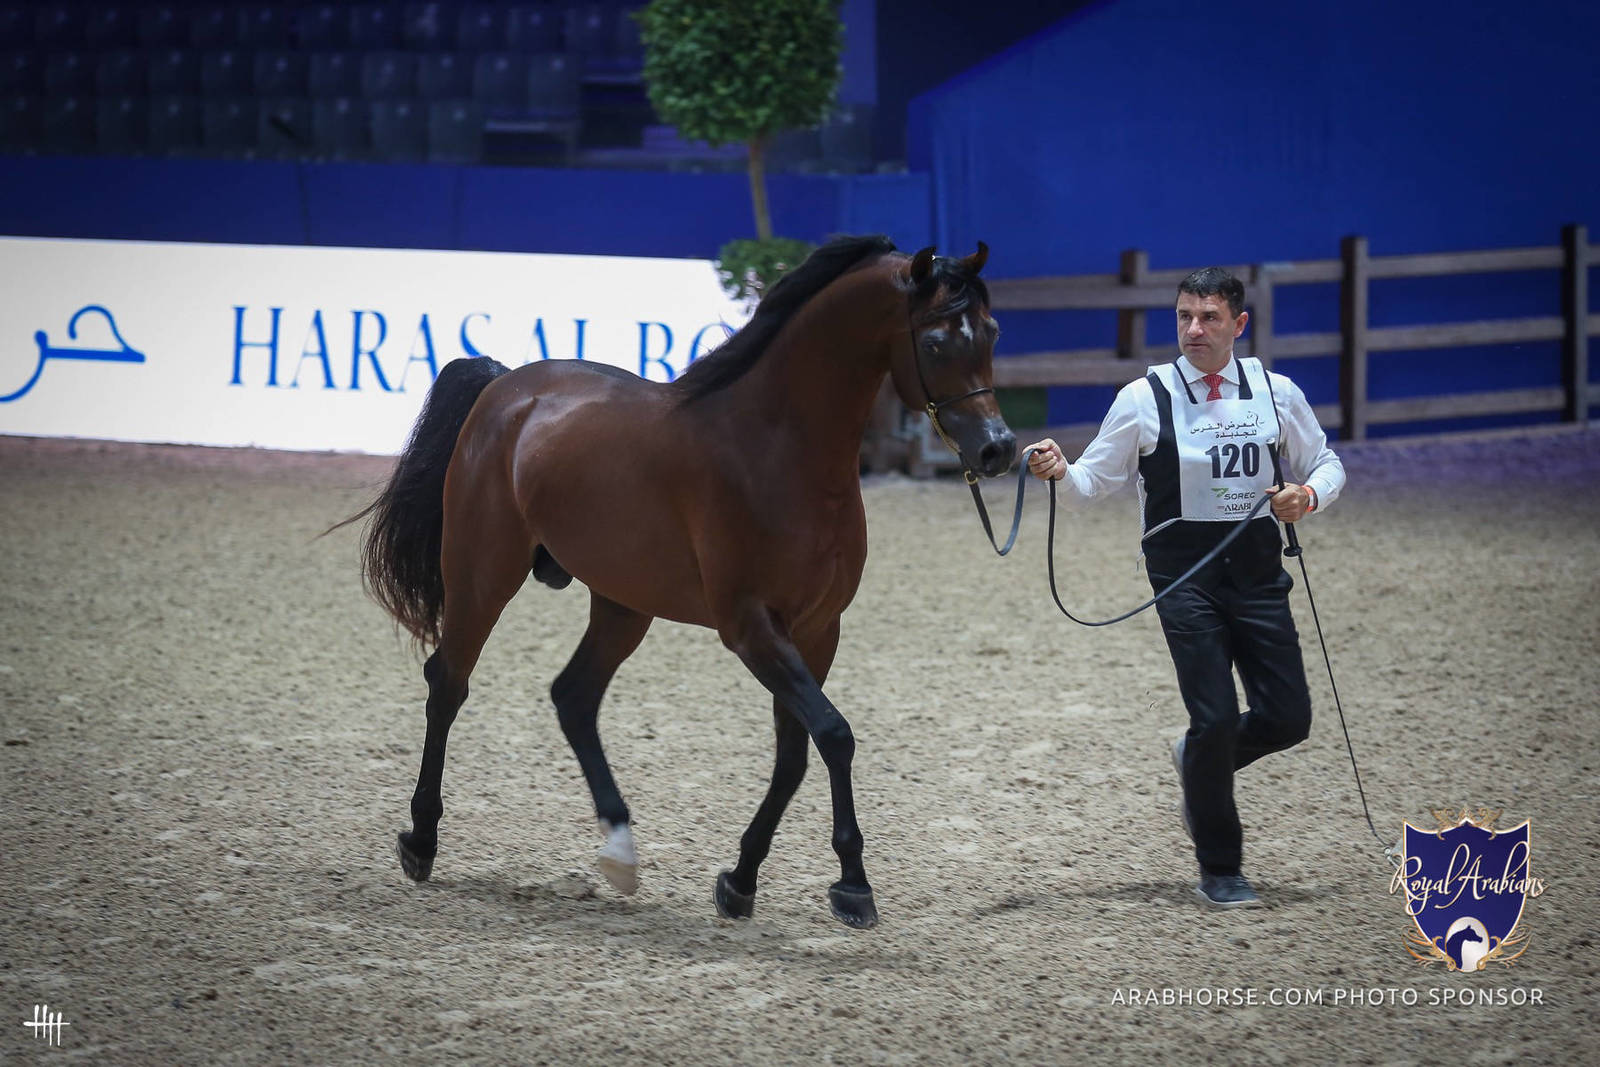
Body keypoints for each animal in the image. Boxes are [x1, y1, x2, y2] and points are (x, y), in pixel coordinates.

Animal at [339, 234, 1015, 929]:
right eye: (935, 342)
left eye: (991, 332)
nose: (998, 450)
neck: (776, 448)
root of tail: (505, 385)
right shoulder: (750, 628)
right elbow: (834, 736)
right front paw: (853, 886)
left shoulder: (816, 630)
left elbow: (794, 756)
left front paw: (740, 882)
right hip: (483, 572)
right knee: (449, 681)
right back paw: (421, 841)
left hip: (622, 604)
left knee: (573, 696)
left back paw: (620, 852)